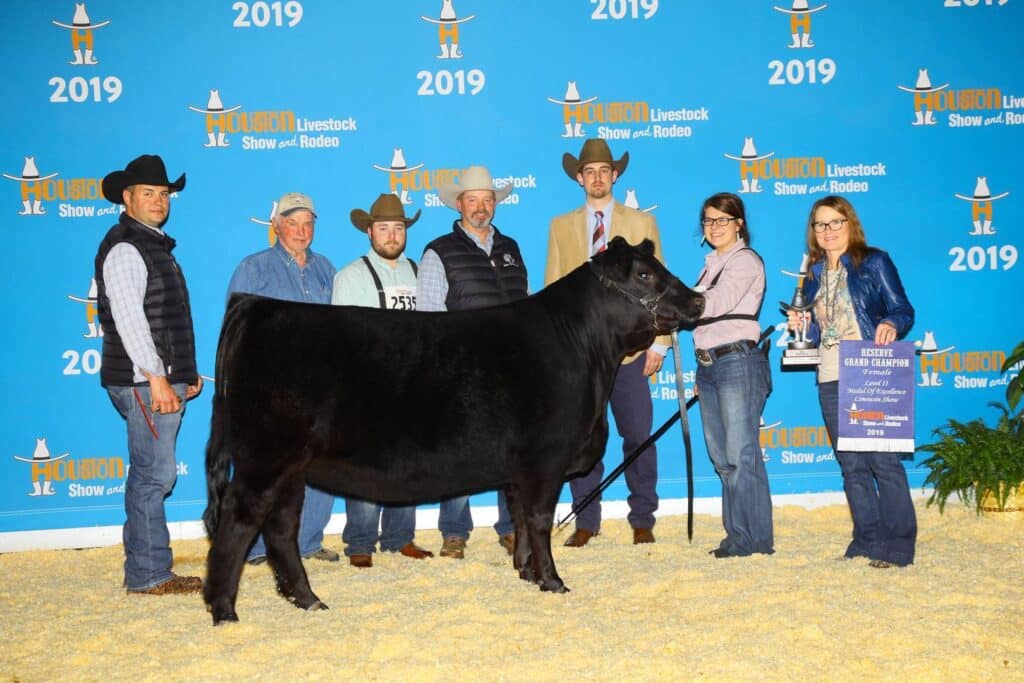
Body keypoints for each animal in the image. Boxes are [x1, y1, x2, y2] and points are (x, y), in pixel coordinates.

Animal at [202, 237, 704, 624]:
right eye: (644, 275)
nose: (698, 299)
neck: (586, 351)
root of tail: (255, 305)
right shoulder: (546, 459)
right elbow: (540, 518)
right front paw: (553, 580)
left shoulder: (520, 469)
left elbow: (521, 517)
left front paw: (525, 572)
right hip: (265, 459)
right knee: (238, 522)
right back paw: (224, 610)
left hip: (291, 467)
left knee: (281, 527)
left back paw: (307, 600)